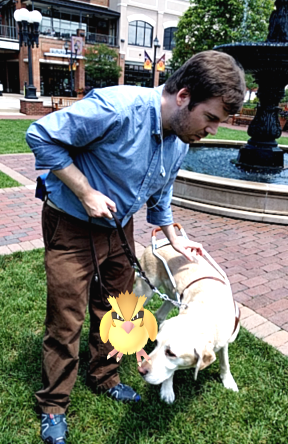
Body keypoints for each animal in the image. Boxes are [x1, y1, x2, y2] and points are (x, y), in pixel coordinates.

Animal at [136, 245, 240, 404]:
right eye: (157, 344)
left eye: (171, 353)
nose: (140, 371)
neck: (204, 312)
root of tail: (156, 244)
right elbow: (171, 371)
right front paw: (167, 390)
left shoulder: (224, 341)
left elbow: (225, 362)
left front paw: (228, 381)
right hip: (145, 291)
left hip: (171, 296)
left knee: (159, 314)